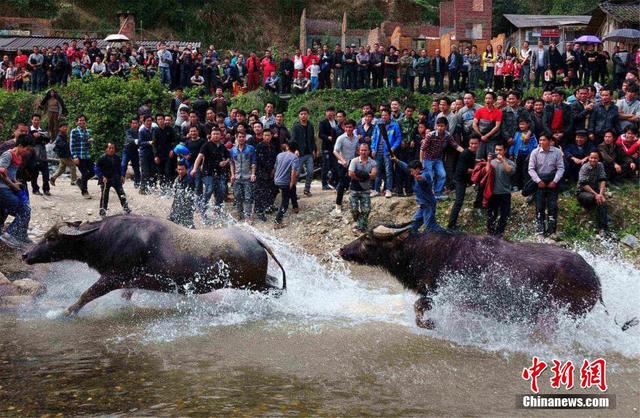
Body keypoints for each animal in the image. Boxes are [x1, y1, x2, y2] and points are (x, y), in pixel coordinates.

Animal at [22, 214, 286, 316]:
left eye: (51, 237)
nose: (25, 255)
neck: (103, 237)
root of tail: (256, 239)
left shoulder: (113, 277)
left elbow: (86, 295)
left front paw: (64, 312)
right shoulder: (128, 283)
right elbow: (124, 297)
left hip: (252, 284)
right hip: (258, 282)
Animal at [340, 225, 636, 330]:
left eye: (367, 240)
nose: (343, 249)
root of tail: (596, 280)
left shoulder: (447, 294)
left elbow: (419, 308)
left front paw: (431, 325)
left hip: (563, 311)